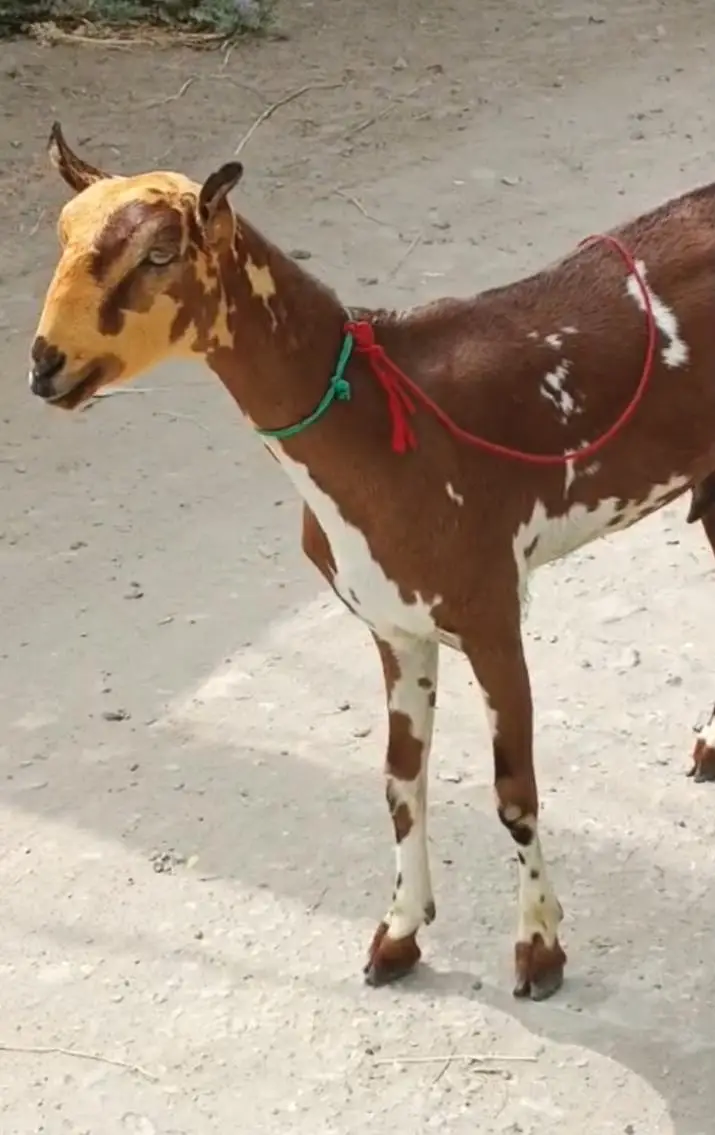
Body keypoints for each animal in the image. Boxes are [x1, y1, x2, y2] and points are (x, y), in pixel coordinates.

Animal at [28, 123, 715, 1000]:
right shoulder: (394, 622)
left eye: (158, 255)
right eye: (61, 237)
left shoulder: (490, 609)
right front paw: (398, 932)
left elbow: (513, 793)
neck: (386, 417)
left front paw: (538, 948)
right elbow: (399, 780)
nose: (47, 364)